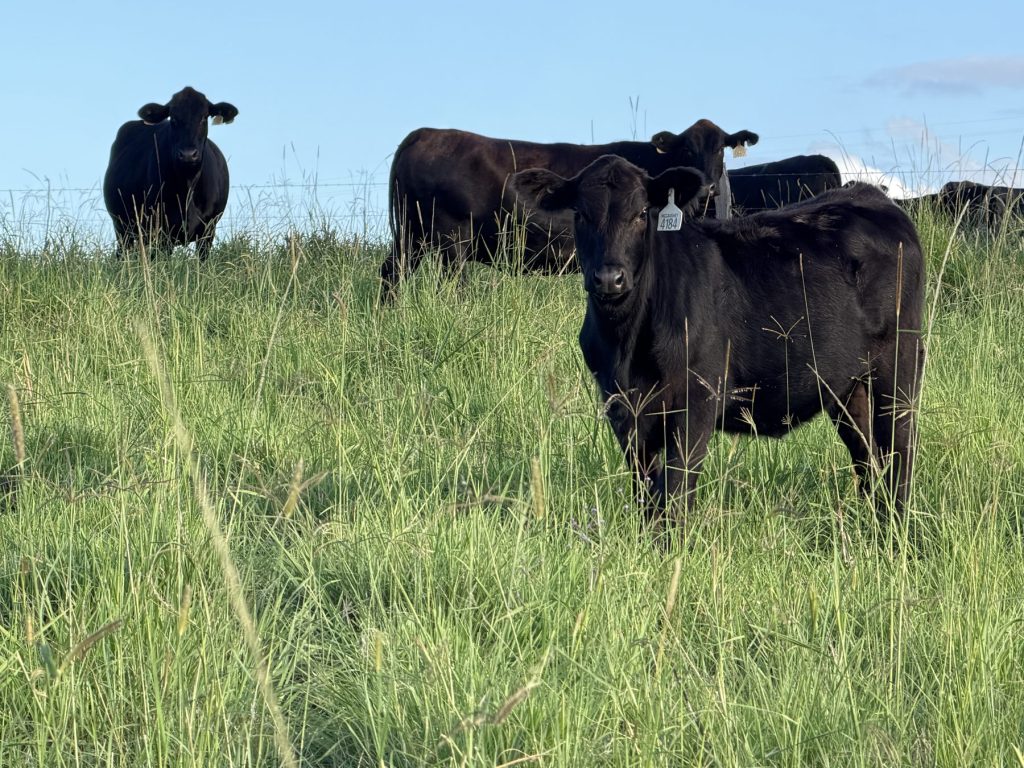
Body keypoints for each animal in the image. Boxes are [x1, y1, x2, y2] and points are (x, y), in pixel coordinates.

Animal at [103, 87, 238, 258]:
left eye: (203, 117)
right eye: (173, 119)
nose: (188, 154)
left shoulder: (208, 230)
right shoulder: (162, 231)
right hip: (123, 228)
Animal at [380, 119, 758, 299]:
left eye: (721, 148)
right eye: (688, 149)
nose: (709, 186)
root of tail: (426, 133)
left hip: (411, 236)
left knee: (391, 273)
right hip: (452, 238)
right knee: (452, 288)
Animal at [511, 155, 924, 536]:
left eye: (642, 212)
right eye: (580, 214)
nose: (610, 278)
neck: (626, 342)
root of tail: (871, 197)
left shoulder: (698, 397)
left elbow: (676, 491)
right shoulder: (621, 407)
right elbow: (646, 493)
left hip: (900, 364)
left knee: (899, 449)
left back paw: (897, 532)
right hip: (846, 385)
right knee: (868, 456)